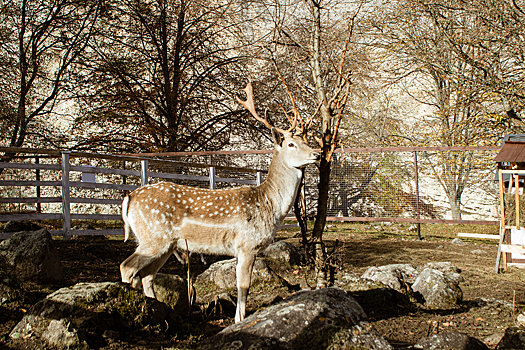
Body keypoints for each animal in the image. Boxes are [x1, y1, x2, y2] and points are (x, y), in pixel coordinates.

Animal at [121, 82, 318, 322]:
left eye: (306, 141)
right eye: (291, 144)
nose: (317, 154)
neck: (270, 204)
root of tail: (129, 197)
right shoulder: (246, 244)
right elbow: (243, 285)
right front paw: (239, 320)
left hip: (166, 244)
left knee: (148, 276)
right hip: (153, 237)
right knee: (127, 267)